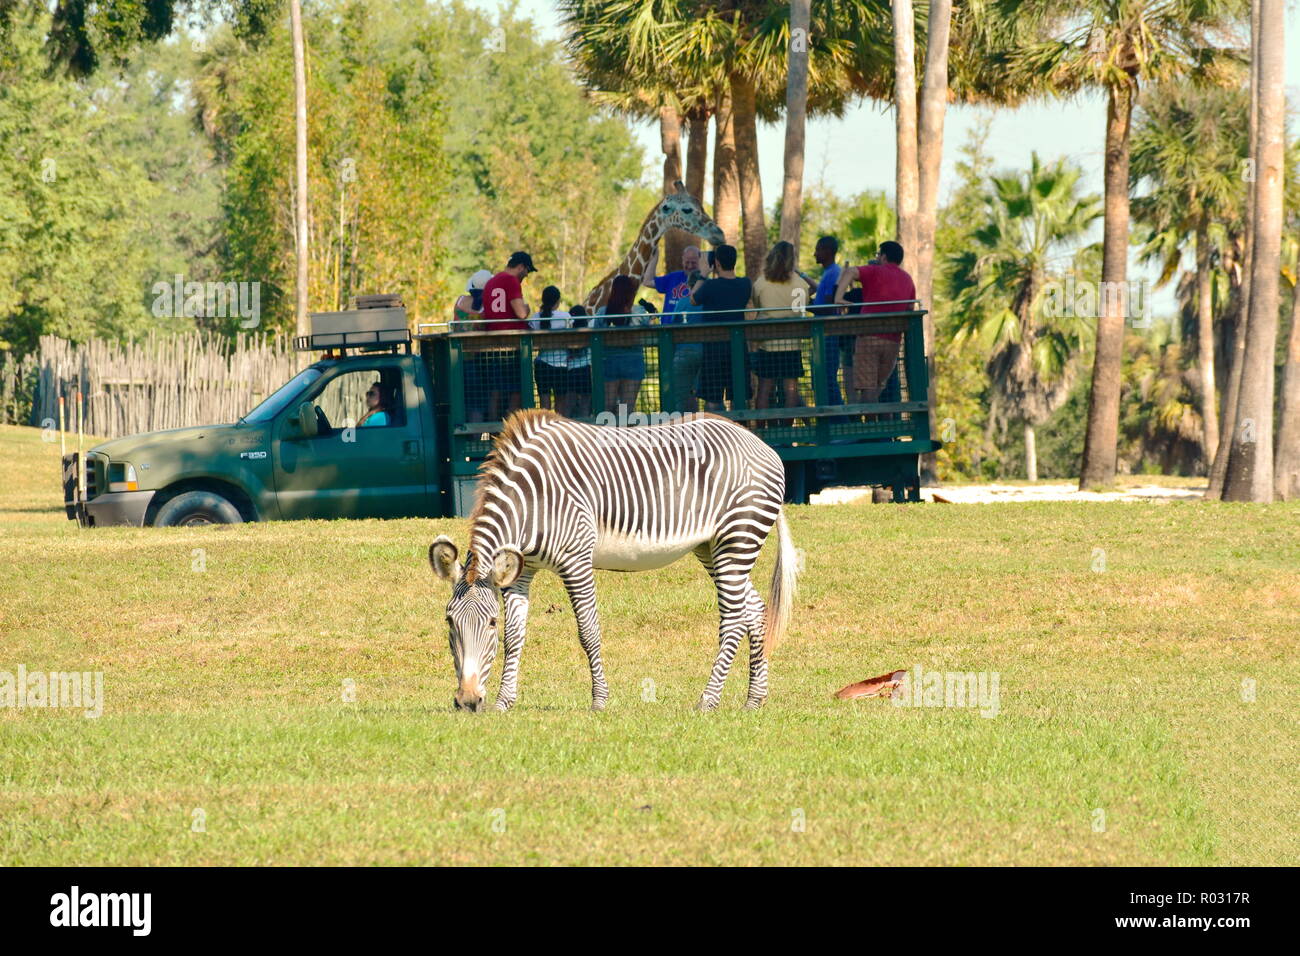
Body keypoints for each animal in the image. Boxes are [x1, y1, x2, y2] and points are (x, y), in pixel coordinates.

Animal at [428, 408, 790, 712]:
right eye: (449, 621)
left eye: (490, 623)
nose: (467, 701)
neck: (532, 500)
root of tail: (757, 441)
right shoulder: (521, 570)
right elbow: (515, 636)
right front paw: (505, 702)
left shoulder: (575, 560)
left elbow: (588, 630)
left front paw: (599, 700)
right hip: (712, 547)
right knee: (755, 610)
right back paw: (754, 700)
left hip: (737, 539)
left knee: (733, 619)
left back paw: (708, 701)